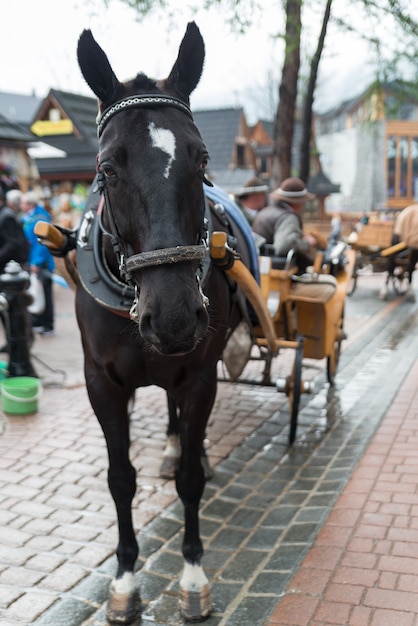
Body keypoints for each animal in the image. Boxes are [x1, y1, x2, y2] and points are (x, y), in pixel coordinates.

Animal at [75, 22, 251, 620]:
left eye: (200, 159)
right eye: (106, 168)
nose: (174, 317)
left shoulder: (198, 374)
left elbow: (191, 481)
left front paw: (193, 575)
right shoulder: (102, 384)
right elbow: (119, 480)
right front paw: (126, 578)